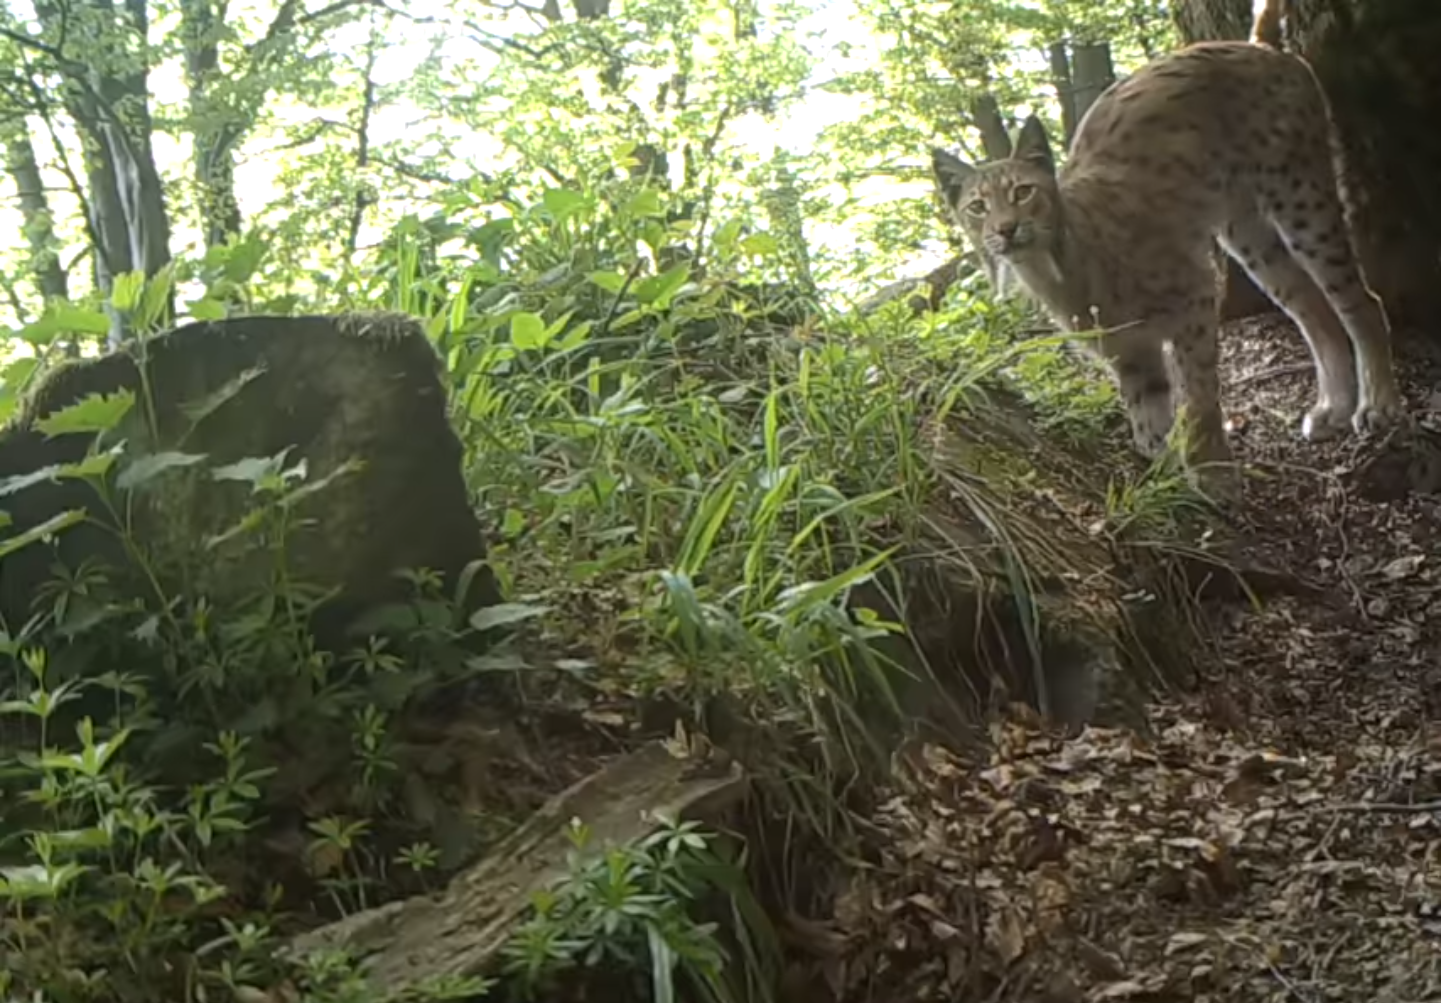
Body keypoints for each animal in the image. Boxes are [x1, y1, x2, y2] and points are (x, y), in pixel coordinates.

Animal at [928, 39, 1400, 501]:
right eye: (977, 208)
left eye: (1023, 192)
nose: (1005, 230)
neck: (1057, 266)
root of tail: (1263, 49)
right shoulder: (1127, 349)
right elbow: (1147, 419)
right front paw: (1164, 480)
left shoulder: (1196, 295)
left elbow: (1199, 394)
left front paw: (1211, 472)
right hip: (1249, 237)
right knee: (1311, 308)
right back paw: (1334, 407)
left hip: (1300, 200)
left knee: (1362, 300)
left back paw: (1377, 403)